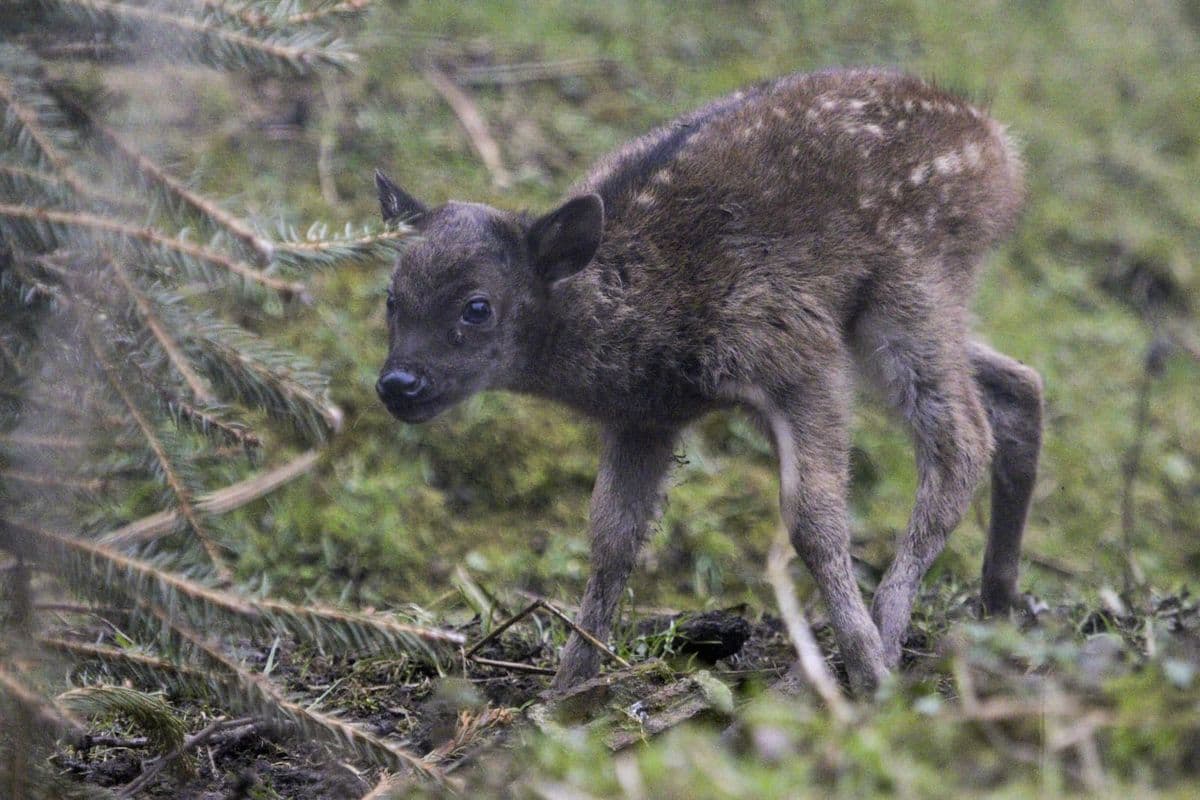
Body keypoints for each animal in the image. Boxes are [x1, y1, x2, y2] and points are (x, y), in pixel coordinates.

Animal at [373, 67, 1043, 694]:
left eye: (477, 307)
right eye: (391, 298)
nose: (397, 383)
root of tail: (1002, 149)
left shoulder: (797, 352)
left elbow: (813, 522)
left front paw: (867, 668)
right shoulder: (643, 419)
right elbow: (611, 538)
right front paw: (567, 686)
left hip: (912, 284)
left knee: (962, 440)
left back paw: (895, 630)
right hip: (882, 322)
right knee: (1020, 384)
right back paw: (998, 606)